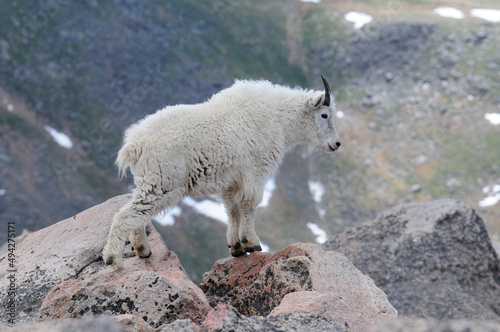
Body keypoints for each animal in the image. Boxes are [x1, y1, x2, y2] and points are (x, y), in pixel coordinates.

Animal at [103, 76, 342, 266]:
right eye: (324, 115)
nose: (337, 144)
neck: (279, 119)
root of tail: (134, 145)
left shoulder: (230, 181)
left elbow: (232, 210)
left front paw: (236, 247)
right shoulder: (255, 172)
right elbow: (249, 205)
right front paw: (252, 243)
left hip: (148, 181)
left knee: (137, 213)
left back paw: (142, 249)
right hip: (162, 182)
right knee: (126, 214)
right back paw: (112, 256)